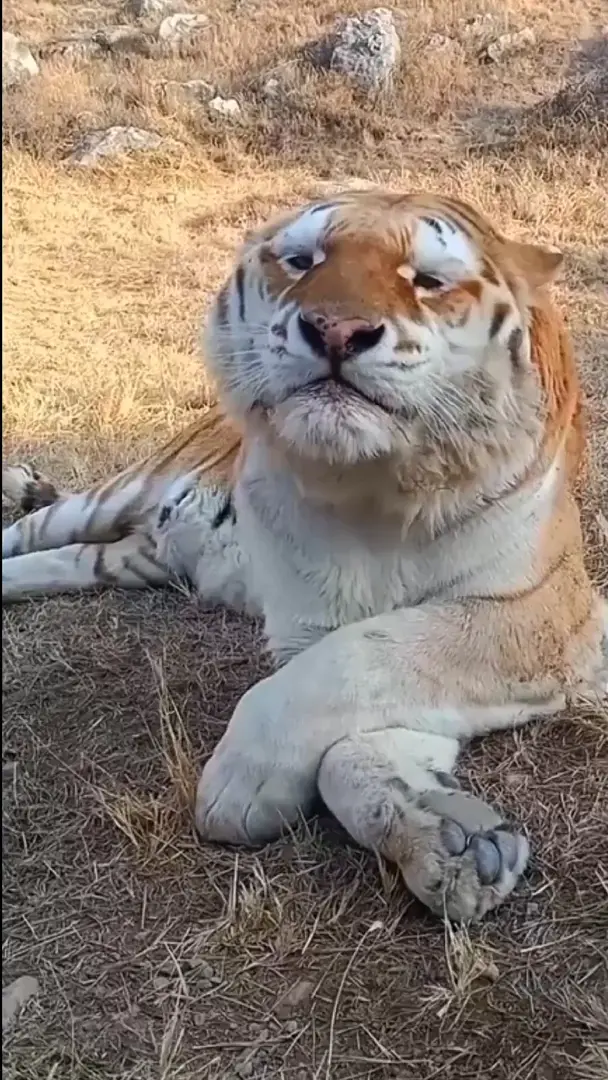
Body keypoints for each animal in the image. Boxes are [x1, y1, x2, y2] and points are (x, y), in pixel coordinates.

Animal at [3, 189, 607, 923]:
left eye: (427, 280)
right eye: (302, 261)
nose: (336, 330)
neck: (377, 494)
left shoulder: (536, 612)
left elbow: (359, 680)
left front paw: (457, 842)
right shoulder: (314, 623)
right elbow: (335, 676)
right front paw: (245, 788)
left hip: (125, 558)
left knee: (60, 560)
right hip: (117, 494)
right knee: (30, 533)